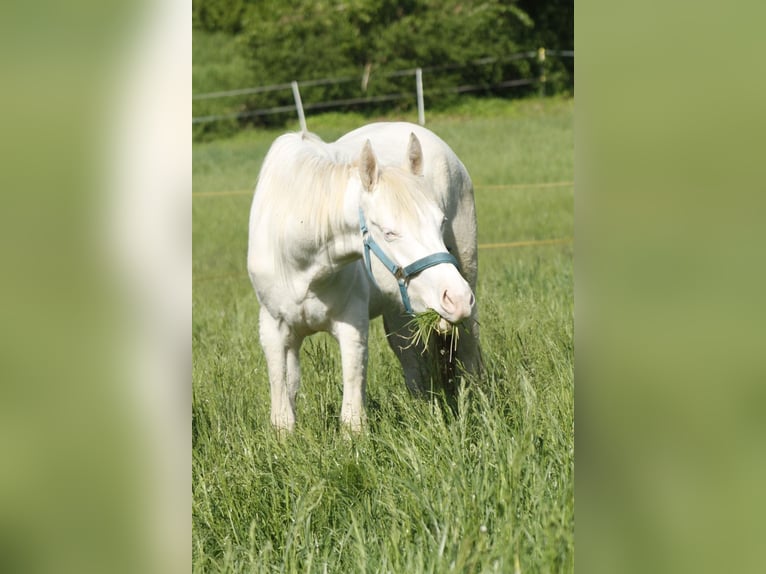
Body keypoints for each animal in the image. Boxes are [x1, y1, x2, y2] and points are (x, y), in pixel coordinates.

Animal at [250, 125, 480, 432]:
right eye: (389, 232)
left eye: (441, 222)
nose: (456, 298)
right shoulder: (274, 329)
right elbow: (284, 403)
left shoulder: (352, 326)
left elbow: (352, 415)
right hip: (400, 311)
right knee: (413, 364)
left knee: (468, 352)